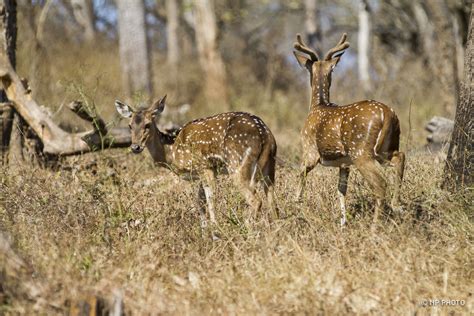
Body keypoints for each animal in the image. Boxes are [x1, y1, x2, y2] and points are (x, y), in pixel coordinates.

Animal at [115, 95, 278, 231]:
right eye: (130, 125)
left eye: (147, 125)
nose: (135, 147)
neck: (171, 152)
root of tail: (264, 134)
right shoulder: (199, 175)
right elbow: (200, 202)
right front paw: (204, 229)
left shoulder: (204, 167)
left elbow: (209, 200)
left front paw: (214, 228)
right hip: (270, 166)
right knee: (272, 202)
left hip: (237, 164)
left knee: (255, 200)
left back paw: (246, 228)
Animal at [292, 34, 408, 225]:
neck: (317, 106)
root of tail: (387, 114)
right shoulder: (344, 164)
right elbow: (341, 190)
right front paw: (343, 223)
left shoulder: (310, 152)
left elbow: (300, 178)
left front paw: (293, 208)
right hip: (386, 147)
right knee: (400, 157)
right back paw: (397, 205)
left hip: (361, 151)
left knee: (380, 183)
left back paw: (375, 225)